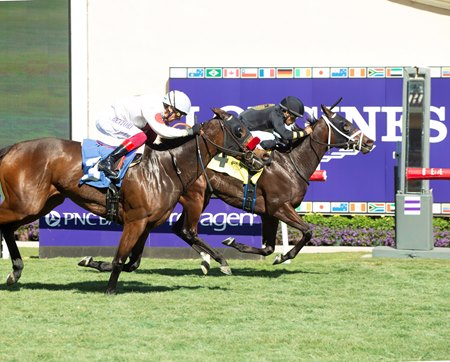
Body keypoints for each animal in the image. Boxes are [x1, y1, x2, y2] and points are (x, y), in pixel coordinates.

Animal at [0, 109, 253, 292]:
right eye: (239, 131)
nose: (259, 155)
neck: (166, 168)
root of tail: (12, 148)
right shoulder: (135, 220)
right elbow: (120, 259)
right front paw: (109, 289)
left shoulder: (147, 224)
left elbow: (132, 262)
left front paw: (91, 262)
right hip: (24, 204)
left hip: (40, 205)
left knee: (8, 227)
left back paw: (16, 271)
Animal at [82, 104, 374, 274]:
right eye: (346, 125)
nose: (370, 142)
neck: (291, 162)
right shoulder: (280, 206)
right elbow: (307, 232)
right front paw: (284, 257)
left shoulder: (268, 211)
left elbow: (267, 247)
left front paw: (239, 244)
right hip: (196, 196)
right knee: (185, 229)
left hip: (200, 198)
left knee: (179, 230)